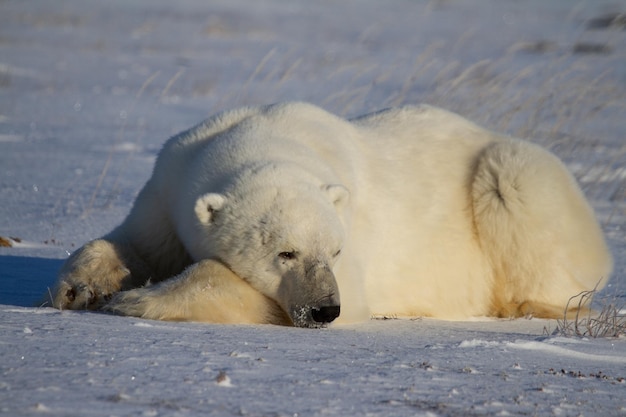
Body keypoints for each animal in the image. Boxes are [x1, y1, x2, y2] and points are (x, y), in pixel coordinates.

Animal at [48, 102, 608, 326]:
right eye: (286, 252)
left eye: (335, 251)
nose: (323, 310)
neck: (262, 134)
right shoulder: (170, 181)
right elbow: (138, 242)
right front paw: (81, 287)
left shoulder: (354, 230)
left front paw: (138, 301)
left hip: (517, 176)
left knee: (516, 185)